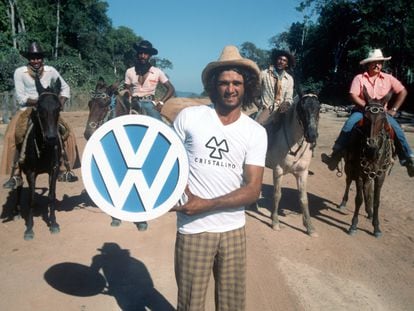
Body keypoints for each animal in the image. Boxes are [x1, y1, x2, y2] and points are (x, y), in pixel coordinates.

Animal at [15, 77, 64, 241]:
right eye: (39, 108)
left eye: (58, 108)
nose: (51, 138)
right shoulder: (30, 172)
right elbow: (31, 200)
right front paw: (29, 229)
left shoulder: (54, 170)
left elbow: (51, 196)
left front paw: (53, 223)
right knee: (19, 186)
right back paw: (17, 212)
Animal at [266, 94, 320, 238]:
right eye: (301, 109)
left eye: (319, 108)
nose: (312, 135)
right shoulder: (278, 170)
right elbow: (277, 194)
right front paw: (275, 222)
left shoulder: (302, 173)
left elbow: (304, 199)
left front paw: (310, 228)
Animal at [340, 88, 394, 239]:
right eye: (366, 117)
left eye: (383, 118)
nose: (371, 146)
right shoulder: (359, 173)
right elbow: (358, 198)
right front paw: (353, 225)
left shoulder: (380, 176)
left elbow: (376, 200)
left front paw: (376, 227)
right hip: (349, 168)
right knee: (348, 182)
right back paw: (343, 203)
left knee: (367, 189)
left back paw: (369, 212)